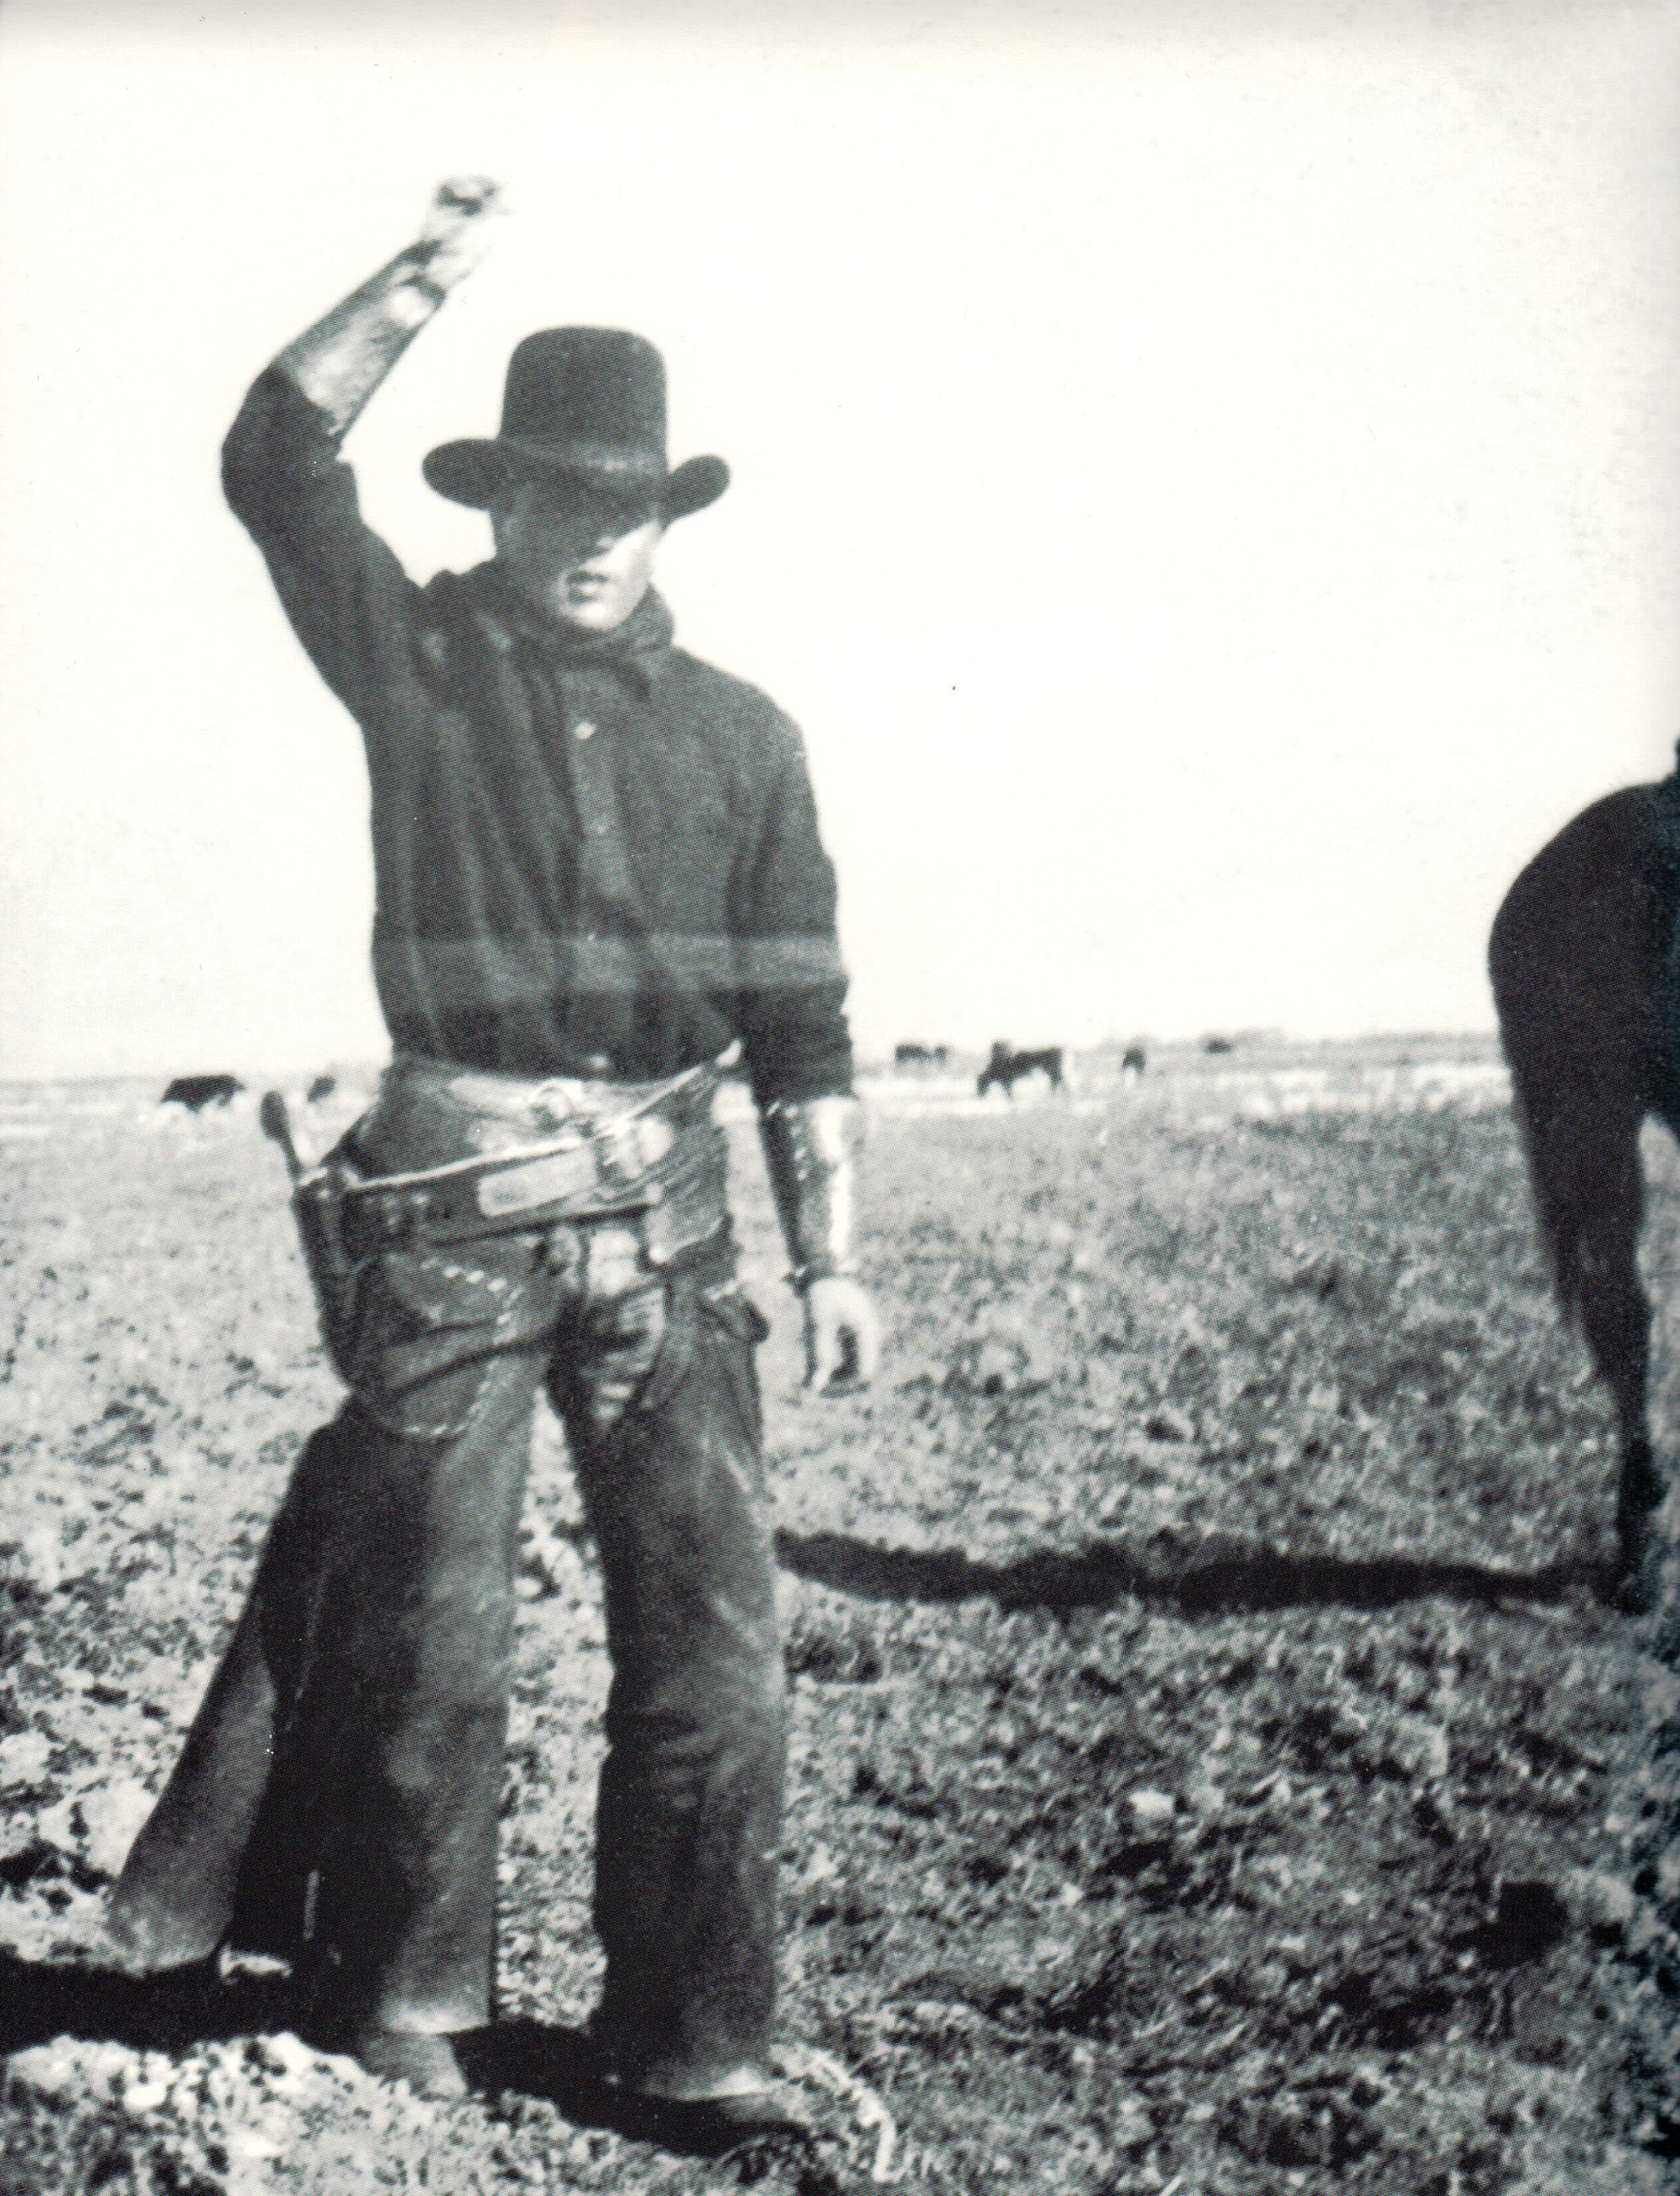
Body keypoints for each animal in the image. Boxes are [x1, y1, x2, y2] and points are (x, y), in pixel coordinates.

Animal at [977, 1042, 1064, 1098]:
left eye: (981, 1084)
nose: (979, 1095)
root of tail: (1057, 1049)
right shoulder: (1006, 1082)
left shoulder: (1006, 1082)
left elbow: (1009, 1094)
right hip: (1052, 1070)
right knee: (1058, 1080)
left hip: (1051, 1069)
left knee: (1057, 1080)